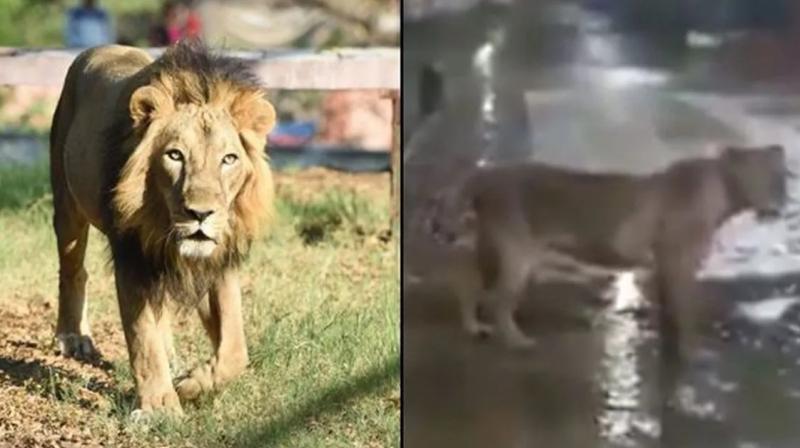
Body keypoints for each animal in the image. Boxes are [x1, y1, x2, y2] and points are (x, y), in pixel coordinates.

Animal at [50, 40, 276, 414]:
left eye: (229, 159)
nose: (200, 213)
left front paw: (191, 383)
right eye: (175, 156)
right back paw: (73, 338)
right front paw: (159, 407)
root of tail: (100, 48)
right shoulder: (132, 258)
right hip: (67, 206)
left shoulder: (219, 259)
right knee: (72, 269)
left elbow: (235, 349)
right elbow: (143, 339)